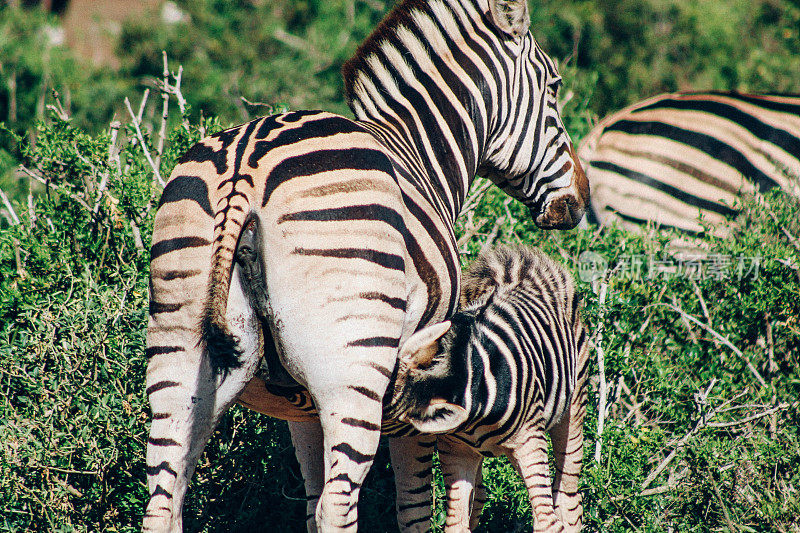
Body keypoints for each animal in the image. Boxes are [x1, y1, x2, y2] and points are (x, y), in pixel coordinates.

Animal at [390, 246, 592, 532]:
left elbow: (548, 522)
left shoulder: (530, 442)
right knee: (484, 496)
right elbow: (457, 523)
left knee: (568, 497)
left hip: (573, 409)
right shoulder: (457, 450)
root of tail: (524, 260)